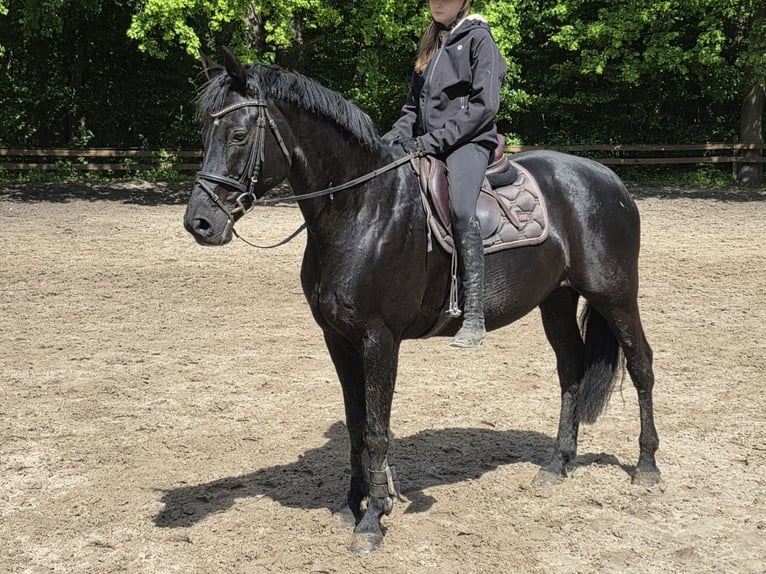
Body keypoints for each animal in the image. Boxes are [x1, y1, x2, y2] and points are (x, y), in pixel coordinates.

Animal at [183, 48, 661, 554]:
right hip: (557, 299)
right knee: (571, 370)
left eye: (238, 134)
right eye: (205, 134)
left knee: (641, 364)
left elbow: (377, 429)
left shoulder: (379, 339)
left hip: (615, 294)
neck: (363, 208)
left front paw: (373, 518)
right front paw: (352, 504)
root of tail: (608, 179)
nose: (199, 223)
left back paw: (647, 466)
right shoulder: (338, 340)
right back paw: (557, 464)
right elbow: (356, 424)